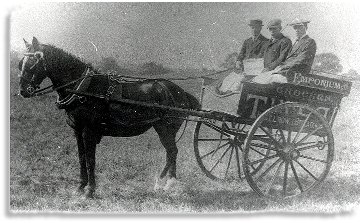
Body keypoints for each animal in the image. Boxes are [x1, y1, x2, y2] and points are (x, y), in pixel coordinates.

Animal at [17, 37, 201, 199]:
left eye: (33, 62)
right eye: (21, 63)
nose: (23, 91)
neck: (84, 89)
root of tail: (181, 91)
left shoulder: (88, 132)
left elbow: (90, 160)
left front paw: (90, 191)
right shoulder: (77, 131)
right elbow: (81, 158)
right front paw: (80, 187)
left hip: (165, 128)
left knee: (172, 151)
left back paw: (163, 182)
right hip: (166, 129)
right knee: (171, 152)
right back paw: (168, 182)